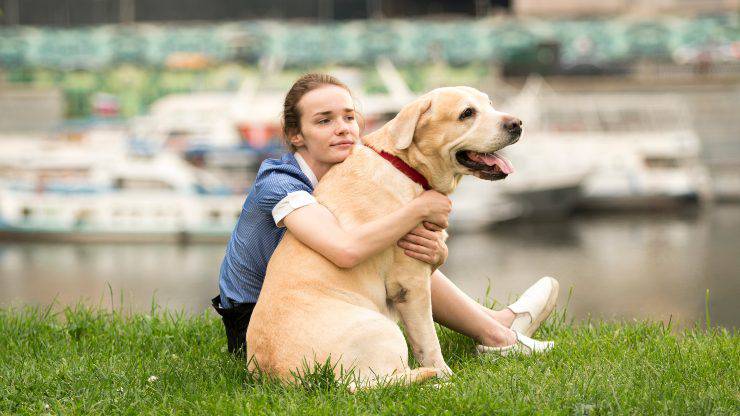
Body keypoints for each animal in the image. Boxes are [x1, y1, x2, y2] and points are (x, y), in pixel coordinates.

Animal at [247, 86, 520, 388]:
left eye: (490, 104)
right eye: (467, 113)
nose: (517, 123)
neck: (405, 166)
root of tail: (294, 379)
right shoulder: (411, 283)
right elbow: (428, 341)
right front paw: (446, 374)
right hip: (382, 330)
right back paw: (435, 382)